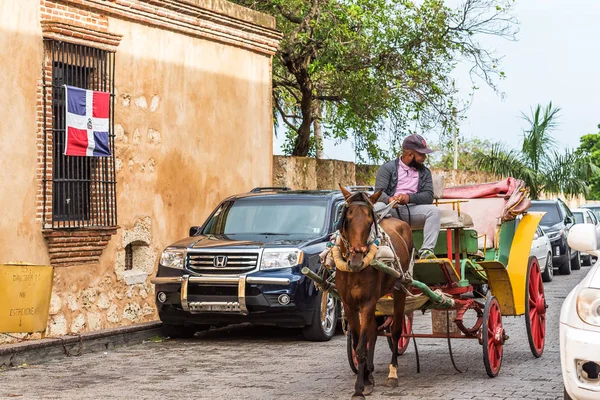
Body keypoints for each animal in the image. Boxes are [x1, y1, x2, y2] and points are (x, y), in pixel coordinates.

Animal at [336, 187, 414, 400]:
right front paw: (366, 381)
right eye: (347, 218)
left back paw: (392, 373)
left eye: (370, 221)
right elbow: (358, 343)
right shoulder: (349, 304)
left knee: (395, 332)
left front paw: (358, 389)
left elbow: (362, 346)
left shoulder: (368, 302)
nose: (355, 260)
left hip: (399, 289)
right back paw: (370, 373)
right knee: (373, 331)